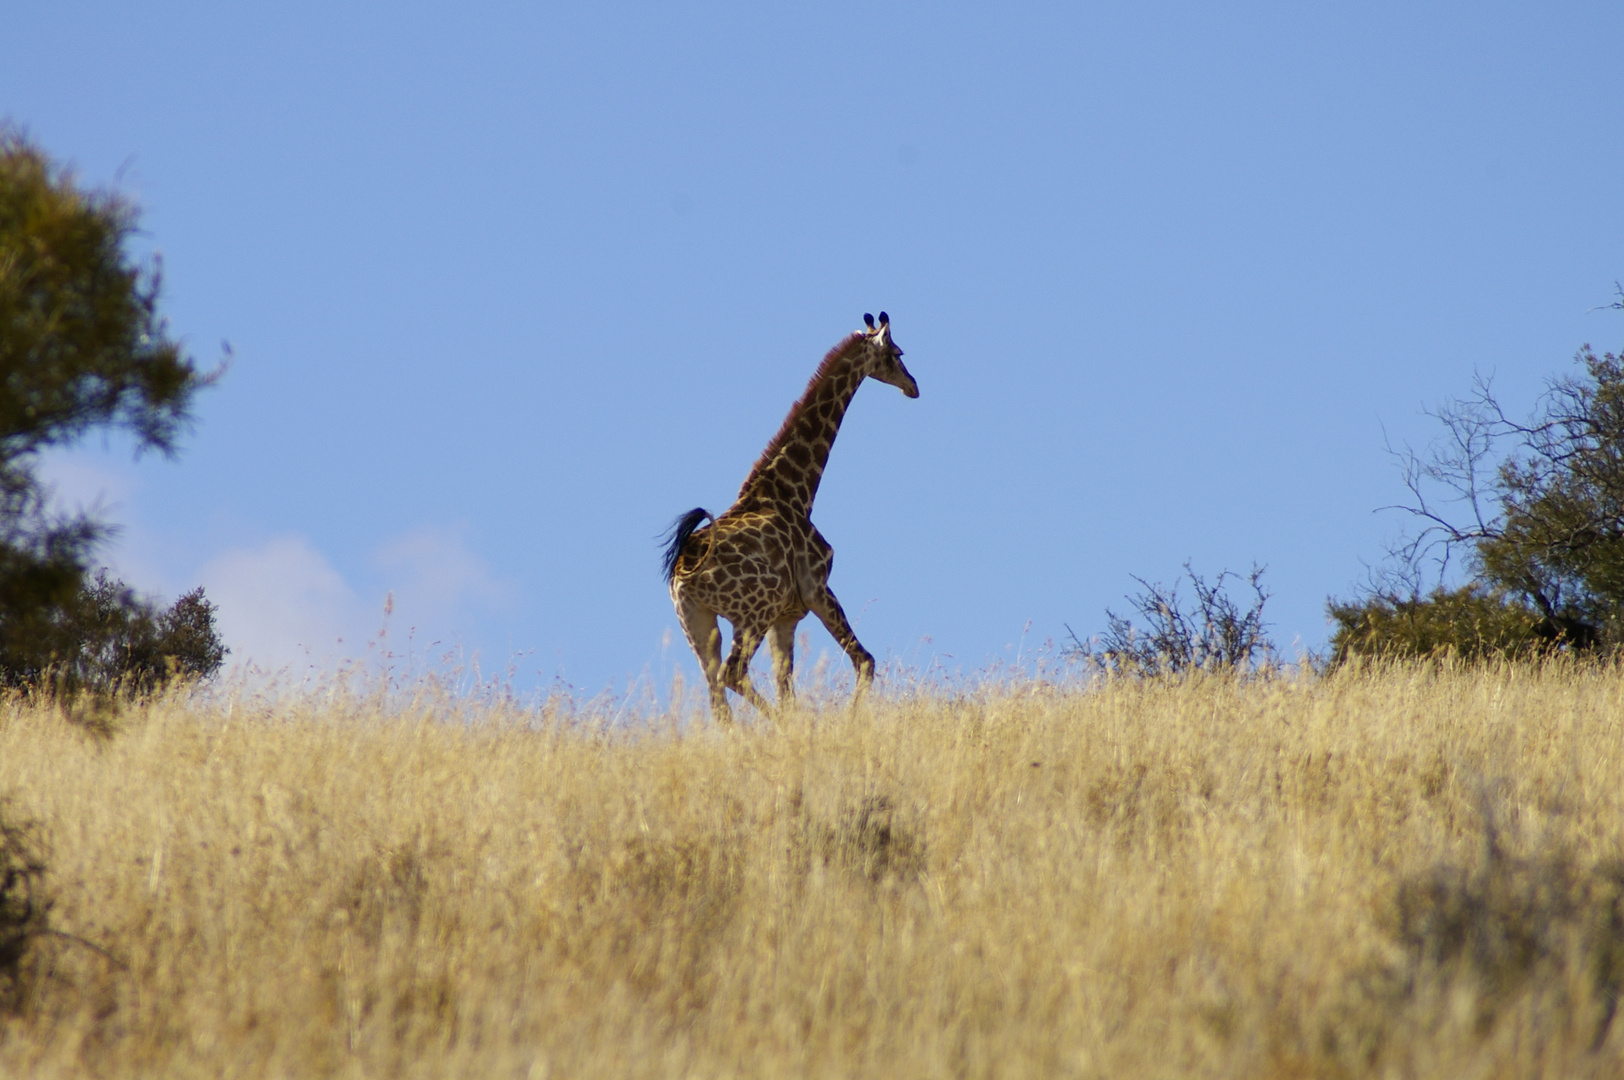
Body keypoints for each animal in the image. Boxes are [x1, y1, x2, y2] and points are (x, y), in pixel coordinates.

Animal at [656, 310, 915, 714]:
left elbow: (788, 688)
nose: (913, 386)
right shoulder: (816, 588)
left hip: (697, 622)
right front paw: (850, 719)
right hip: (753, 611)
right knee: (732, 674)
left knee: (716, 694)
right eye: (898, 353)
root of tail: (684, 567)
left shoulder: (787, 616)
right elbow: (865, 661)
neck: (795, 491)